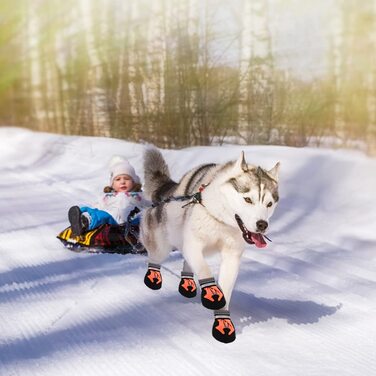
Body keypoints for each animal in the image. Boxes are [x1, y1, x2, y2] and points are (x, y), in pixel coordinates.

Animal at [141, 148, 280, 344]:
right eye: (248, 199)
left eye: (269, 204)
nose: (262, 225)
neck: (222, 220)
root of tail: (171, 190)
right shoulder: (193, 244)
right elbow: (205, 271)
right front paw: (212, 293)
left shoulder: (231, 257)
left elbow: (225, 290)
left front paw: (222, 322)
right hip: (163, 244)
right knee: (155, 257)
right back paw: (153, 276)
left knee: (186, 262)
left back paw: (187, 283)